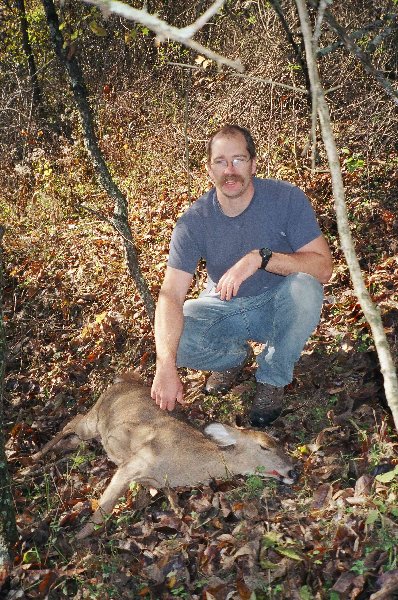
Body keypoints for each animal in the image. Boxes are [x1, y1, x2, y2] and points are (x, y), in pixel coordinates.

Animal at [33, 372, 296, 536]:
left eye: (279, 443)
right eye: (264, 446)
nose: (293, 470)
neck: (178, 464)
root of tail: (119, 379)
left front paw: (177, 511)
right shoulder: (134, 464)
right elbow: (103, 508)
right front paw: (79, 541)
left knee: (74, 438)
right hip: (93, 420)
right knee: (72, 421)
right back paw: (35, 458)